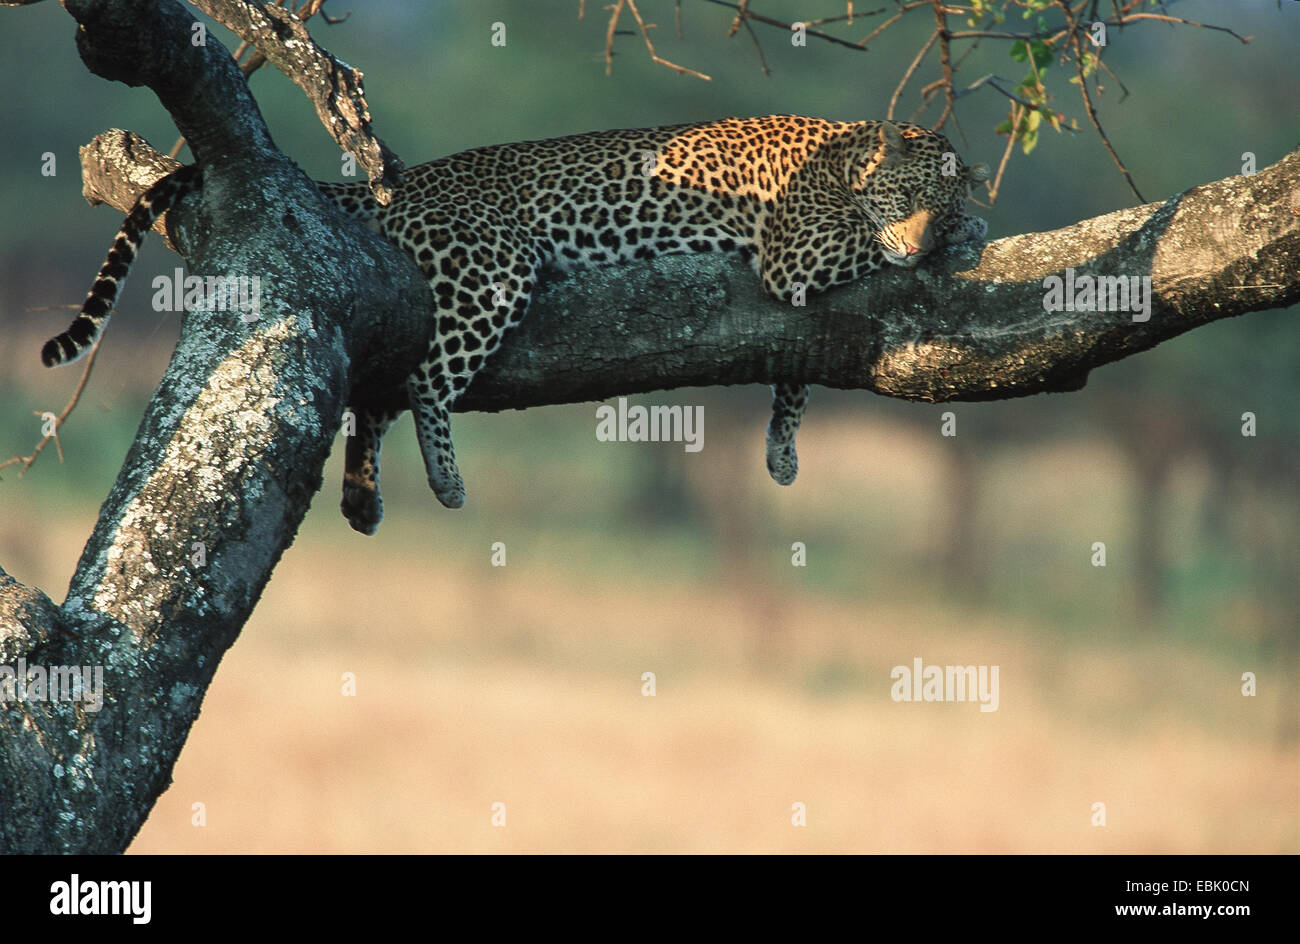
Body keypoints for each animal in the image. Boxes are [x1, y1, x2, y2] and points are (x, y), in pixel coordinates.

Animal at [45, 114, 987, 535]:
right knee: (422, 382)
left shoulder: (795, 306)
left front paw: (783, 453)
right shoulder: (797, 252)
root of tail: (409, 181)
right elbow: (850, 252)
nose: (924, 239)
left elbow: (794, 381)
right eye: (908, 199)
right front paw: (962, 236)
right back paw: (441, 479)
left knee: (376, 397)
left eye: (932, 204)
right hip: (490, 271)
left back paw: (363, 497)